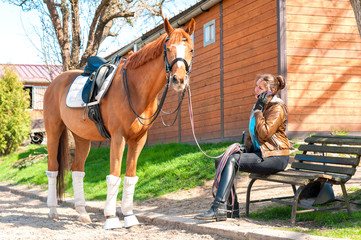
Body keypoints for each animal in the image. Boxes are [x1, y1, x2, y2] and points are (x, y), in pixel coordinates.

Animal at [43, 18, 195, 229]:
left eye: (190, 49)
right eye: (168, 48)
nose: (179, 80)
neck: (135, 88)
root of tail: (54, 82)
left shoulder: (138, 140)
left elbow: (130, 177)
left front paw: (129, 216)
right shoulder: (118, 137)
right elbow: (114, 176)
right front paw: (111, 218)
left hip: (82, 137)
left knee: (77, 170)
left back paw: (82, 213)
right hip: (54, 131)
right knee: (53, 169)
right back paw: (52, 211)